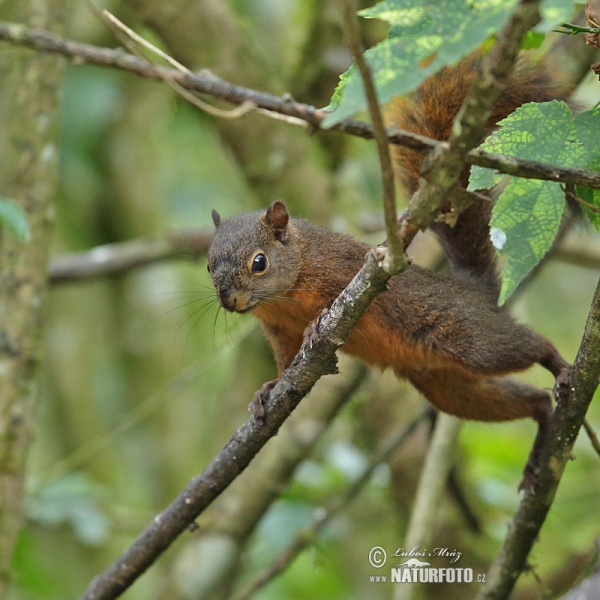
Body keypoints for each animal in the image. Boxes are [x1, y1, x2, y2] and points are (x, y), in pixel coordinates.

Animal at [209, 55, 568, 488]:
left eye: (258, 262)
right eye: (208, 264)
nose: (229, 301)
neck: (286, 292)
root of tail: (474, 288)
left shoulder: (343, 268)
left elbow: (334, 303)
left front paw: (316, 327)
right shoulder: (278, 331)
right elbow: (284, 362)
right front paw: (269, 388)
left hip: (472, 340)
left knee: (527, 345)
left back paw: (560, 366)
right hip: (444, 385)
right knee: (528, 399)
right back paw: (541, 431)